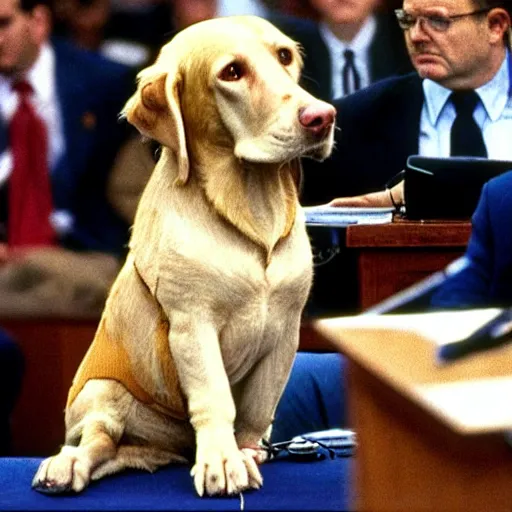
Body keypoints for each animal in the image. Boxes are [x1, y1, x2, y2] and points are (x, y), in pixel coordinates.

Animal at [32, 16, 336, 496]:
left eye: (284, 56)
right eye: (232, 72)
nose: (322, 117)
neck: (248, 209)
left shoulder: (286, 329)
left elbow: (255, 411)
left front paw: (245, 453)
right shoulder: (192, 323)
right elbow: (215, 397)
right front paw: (223, 461)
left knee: (116, 455)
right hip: (103, 391)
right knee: (96, 440)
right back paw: (66, 465)